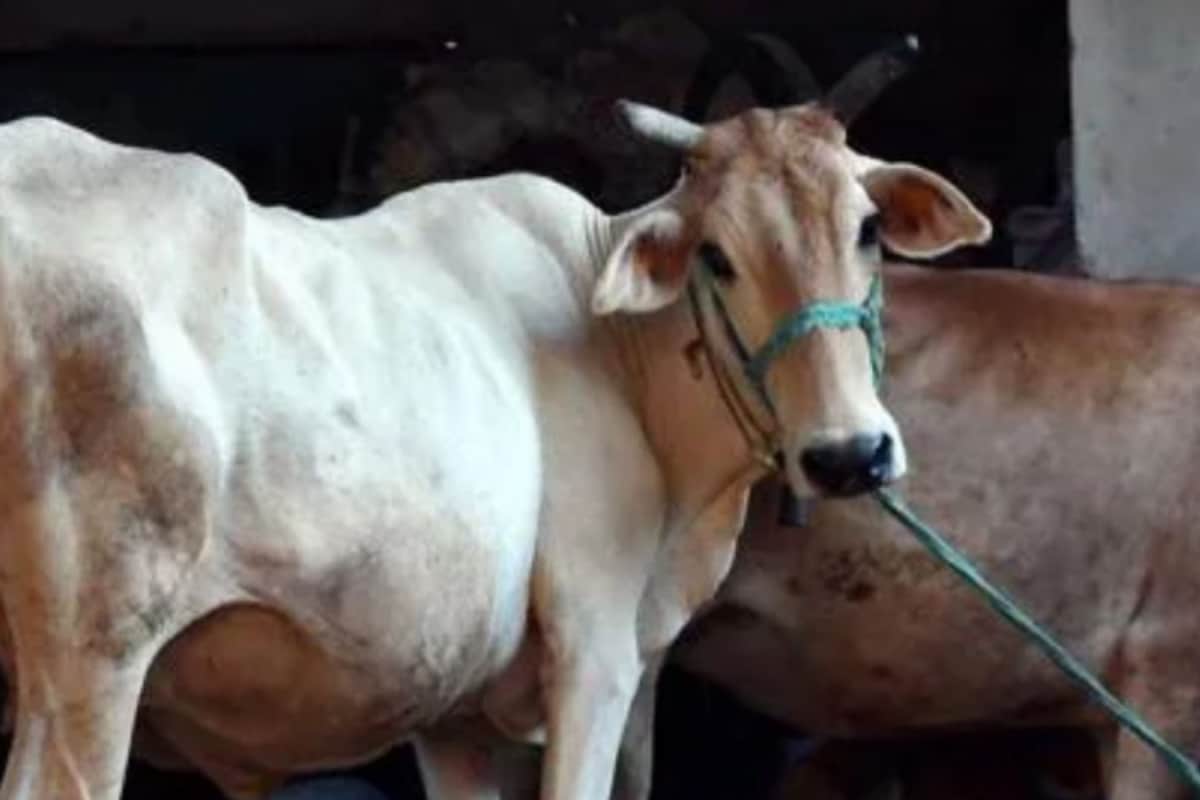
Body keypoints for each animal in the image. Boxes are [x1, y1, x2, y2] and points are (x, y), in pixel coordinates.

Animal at [0, 104, 987, 800]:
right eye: (716, 253)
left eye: (867, 229)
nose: (850, 453)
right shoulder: (597, 652)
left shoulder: (458, 714)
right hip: (88, 677)